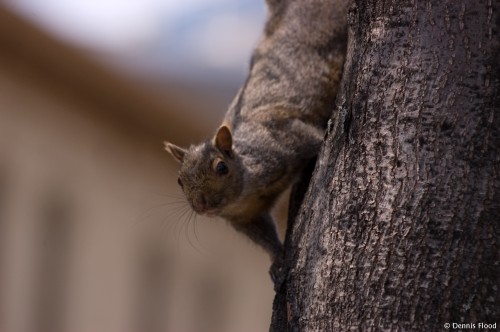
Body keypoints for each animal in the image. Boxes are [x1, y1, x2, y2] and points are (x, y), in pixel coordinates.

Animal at [166, 0, 346, 264]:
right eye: (180, 180)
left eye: (222, 167)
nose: (201, 206)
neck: (246, 191)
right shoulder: (246, 218)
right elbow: (264, 236)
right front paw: (278, 259)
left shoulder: (285, 138)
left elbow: (314, 139)